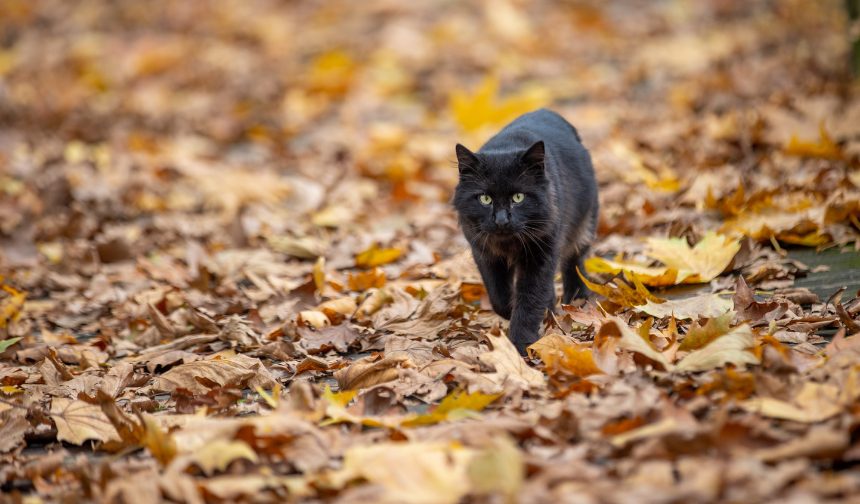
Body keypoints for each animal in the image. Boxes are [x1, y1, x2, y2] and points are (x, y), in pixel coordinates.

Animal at [450, 109, 596, 356]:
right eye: (485, 199)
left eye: (518, 197)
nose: (501, 220)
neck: (508, 244)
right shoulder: (485, 255)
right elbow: (499, 297)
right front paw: (513, 313)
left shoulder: (540, 254)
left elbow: (529, 300)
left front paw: (521, 345)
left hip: (583, 226)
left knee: (574, 262)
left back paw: (577, 298)